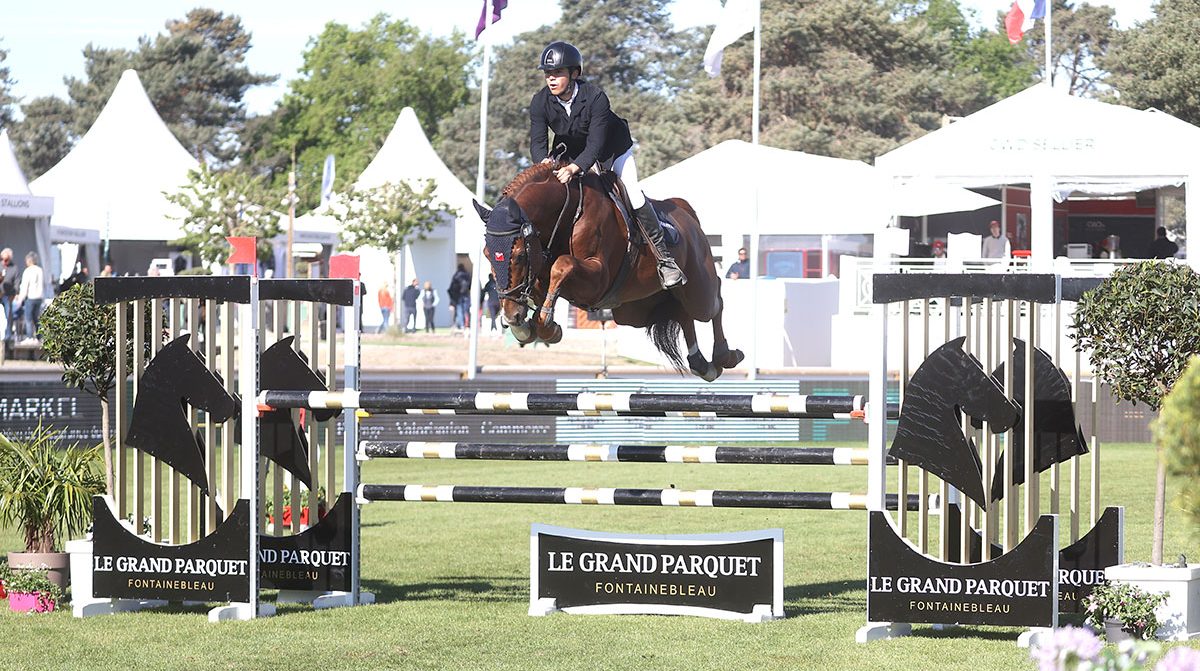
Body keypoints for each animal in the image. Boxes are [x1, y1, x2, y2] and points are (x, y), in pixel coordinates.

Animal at [472, 162, 743, 381]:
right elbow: (542, 286)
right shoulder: (541, 273)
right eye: (486, 254)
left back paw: (724, 356)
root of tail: (686, 212)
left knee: (713, 303)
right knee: (682, 313)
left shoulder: (598, 279)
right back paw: (702, 364)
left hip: (698, 290)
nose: (511, 316)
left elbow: (563, 265)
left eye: (519, 255)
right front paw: (529, 327)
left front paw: (547, 325)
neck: (569, 212)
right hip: (635, 312)